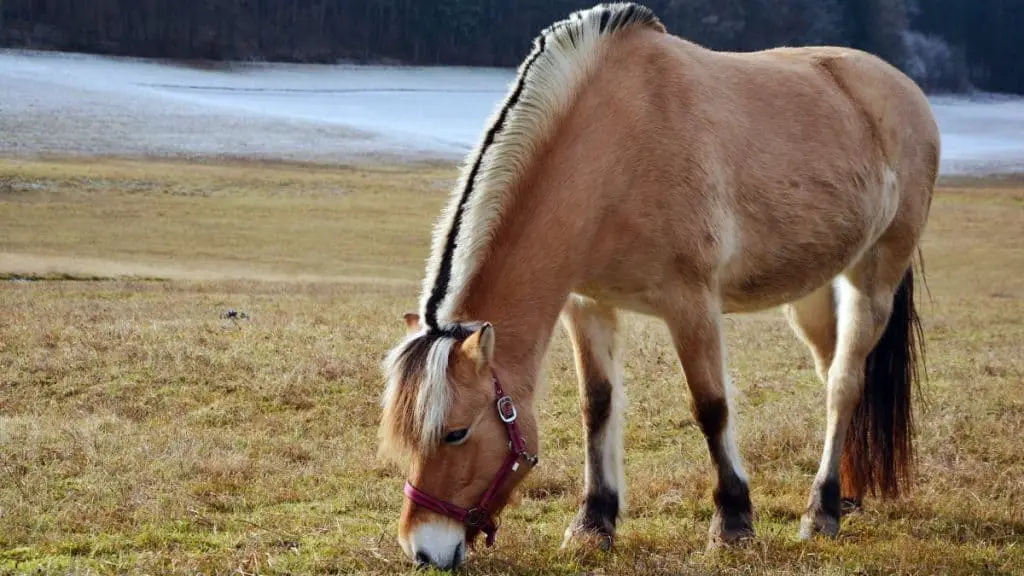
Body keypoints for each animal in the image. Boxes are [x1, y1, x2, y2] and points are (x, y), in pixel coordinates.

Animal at [374, 1, 937, 569]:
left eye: (456, 432)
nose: (424, 549)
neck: (615, 146)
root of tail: (903, 90)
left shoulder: (691, 304)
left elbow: (710, 406)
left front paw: (732, 523)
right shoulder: (587, 305)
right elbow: (597, 406)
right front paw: (593, 523)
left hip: (874, 276)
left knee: (844, 384)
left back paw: (821, 512)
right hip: (813, 293)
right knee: (834, 374)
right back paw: (848, 495)